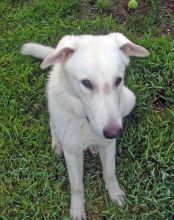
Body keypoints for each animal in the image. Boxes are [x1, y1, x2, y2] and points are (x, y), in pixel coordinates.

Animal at [20, 33, 148, 220]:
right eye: (86, 83)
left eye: (118, 80)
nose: (114, 132)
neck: (86, 122)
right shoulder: (72, 153)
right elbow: (77, 186)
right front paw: (77, 209)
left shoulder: (109, 145)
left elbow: (109, 173)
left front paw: (115, 194)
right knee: (52, 122)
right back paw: (57, 142)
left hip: (129, 100)